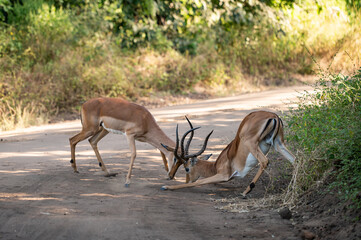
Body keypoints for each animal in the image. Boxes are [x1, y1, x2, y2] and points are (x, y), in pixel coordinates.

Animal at [161, 110, 296, 197]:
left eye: (187, 168)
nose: (187, 181)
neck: (216, 166)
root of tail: (273, 116)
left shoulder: (223, 175)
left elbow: (199, 182)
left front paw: (166, 187)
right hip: (278, 144)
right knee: (295, 159)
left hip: (251, 143)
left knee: (265, 161)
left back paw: (246, 192)